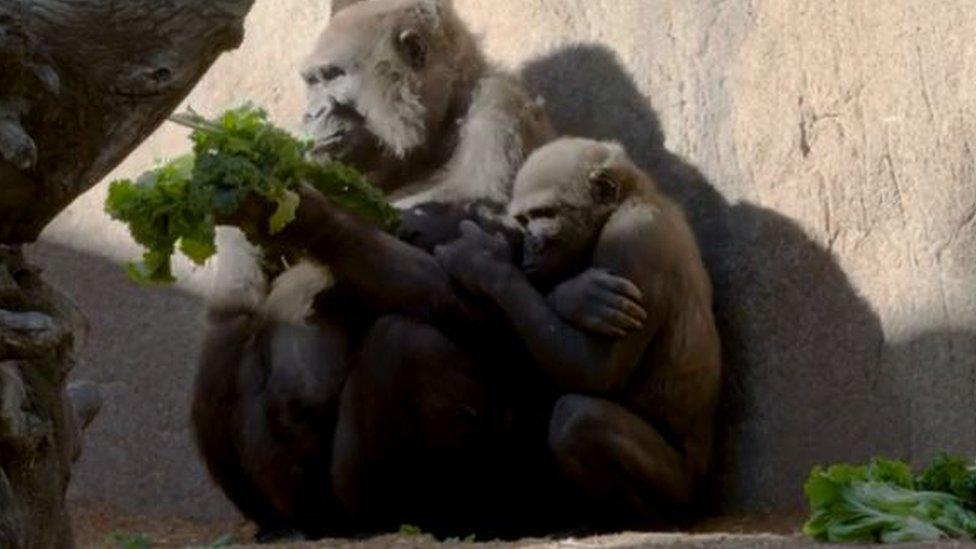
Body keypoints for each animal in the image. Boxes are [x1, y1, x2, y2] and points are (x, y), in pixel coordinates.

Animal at [436, 138, 724, 528]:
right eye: (523, 220)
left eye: (544, 215)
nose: (530, 244)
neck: (635, 196)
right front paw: (578, 294)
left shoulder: (633, 240)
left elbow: (594, 371)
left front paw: (486, 264)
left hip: (683, 488)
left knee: (579, 418)